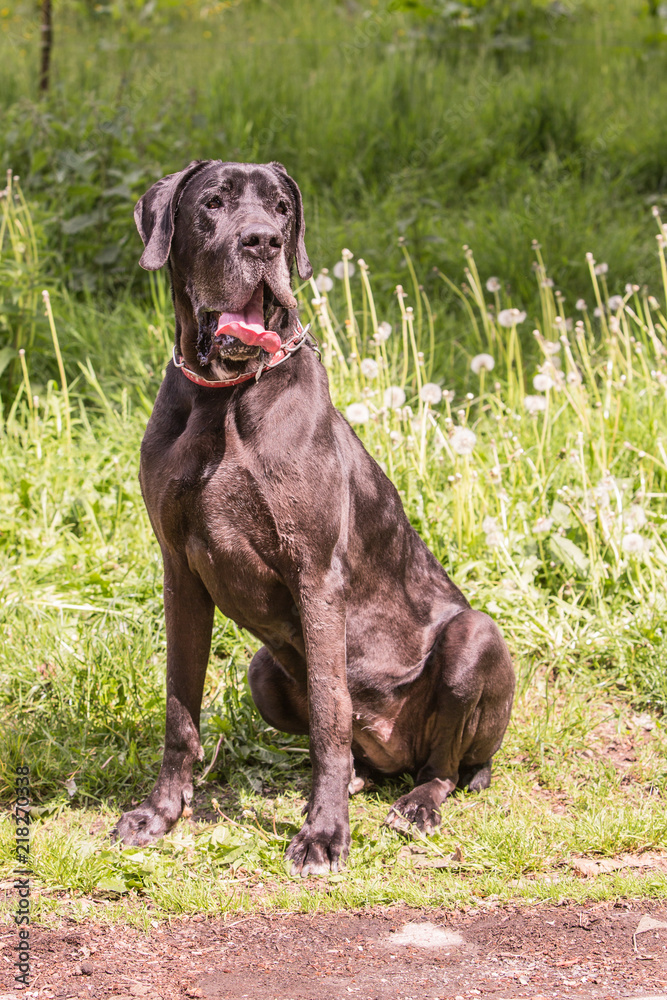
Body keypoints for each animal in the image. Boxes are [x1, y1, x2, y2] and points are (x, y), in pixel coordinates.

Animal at [112, 158, 516, 876]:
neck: (225, 397)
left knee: (440, 765)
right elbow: (179, 708)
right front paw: (160, 813)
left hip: (474, 642)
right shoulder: (179, 573)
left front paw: (324, 834)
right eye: (212, 203)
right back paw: (358, 778)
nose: (263, 243)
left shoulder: (315, 573)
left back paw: (414, 804)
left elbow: (330, 710)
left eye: (281, 208)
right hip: (262, 672)